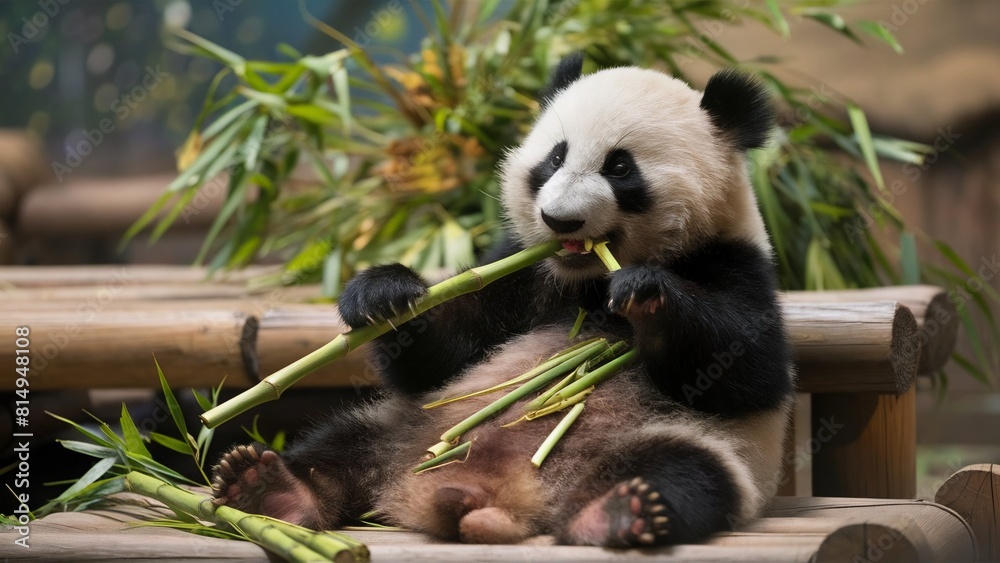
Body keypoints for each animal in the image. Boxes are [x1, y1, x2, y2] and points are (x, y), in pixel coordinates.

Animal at [211, 53, 794, 547]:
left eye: (619, 168)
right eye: (554, 158)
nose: (559, 219)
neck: (583, 280)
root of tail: (495, 496)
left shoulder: (734, 262)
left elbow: (746, 370)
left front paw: (645, 294)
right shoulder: (522, 270)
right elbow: (447, 351)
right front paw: (384, 294)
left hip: (691, 446)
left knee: (684, 470)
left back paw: (618, 513)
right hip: (410, 426)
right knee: (339, 443)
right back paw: (270, 488)